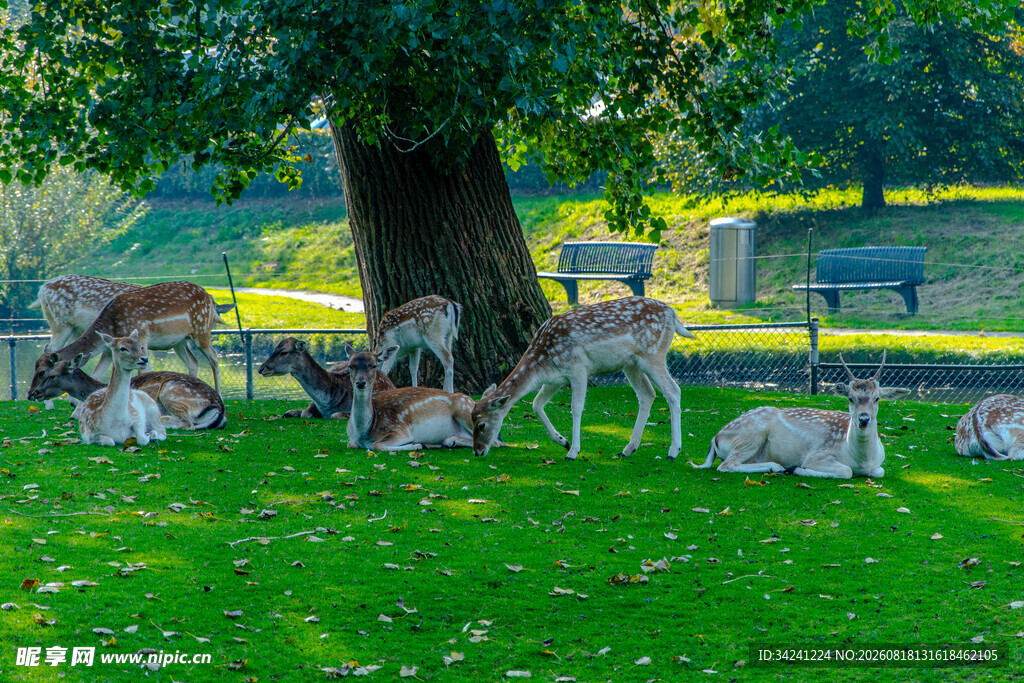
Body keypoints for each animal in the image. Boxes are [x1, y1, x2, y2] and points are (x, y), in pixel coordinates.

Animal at [28, 281, 234, 394]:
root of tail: (211, 300)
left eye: (44, 373)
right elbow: (98, 373)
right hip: (179, 341)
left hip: (201, 330)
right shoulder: (112, 347)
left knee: (214, 356)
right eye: (35, 368)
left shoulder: (141, 336)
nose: (31, 393)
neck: (113, 323)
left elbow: (146, 370)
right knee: (193, 361)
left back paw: (219, 395)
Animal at [257, 337, 395, 418]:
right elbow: (305, 413)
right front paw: (292, 412)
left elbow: (335, 415)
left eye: (284, 352)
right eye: (274, 349)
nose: (261, 368)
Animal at [345, 343, 478, 451]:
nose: (360, 382)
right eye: (350, 365)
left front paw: (418, 445)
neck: (363, 433)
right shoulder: (353, 440)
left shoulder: (398, 430)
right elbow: (350, 444)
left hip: (464, 409)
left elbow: (377, 445)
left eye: (374, 365)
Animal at [472, 296, 696, 460]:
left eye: (481, 425)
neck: (540, 362)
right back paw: (628, 448)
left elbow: (576, 408)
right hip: (631, 364)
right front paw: (562, 441)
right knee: (647, 394)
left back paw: (673, 450)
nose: (477, 451)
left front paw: (573, 451)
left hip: (653, 354)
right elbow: (536, 404)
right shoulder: (554, 379)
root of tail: (673, 314)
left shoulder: (578, 368)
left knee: (673, 391)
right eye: (471, 419)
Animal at [691, 352, 910, 478]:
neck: (860, 460)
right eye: (850, 398)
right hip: (749, 436)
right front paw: (798, 469)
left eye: (877, 398)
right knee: (726, 465)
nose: (863, 419)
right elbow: (846, 471)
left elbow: (879, 471)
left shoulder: (878, 464)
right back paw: (778, 467)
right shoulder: (816, 455)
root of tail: (715, 438)